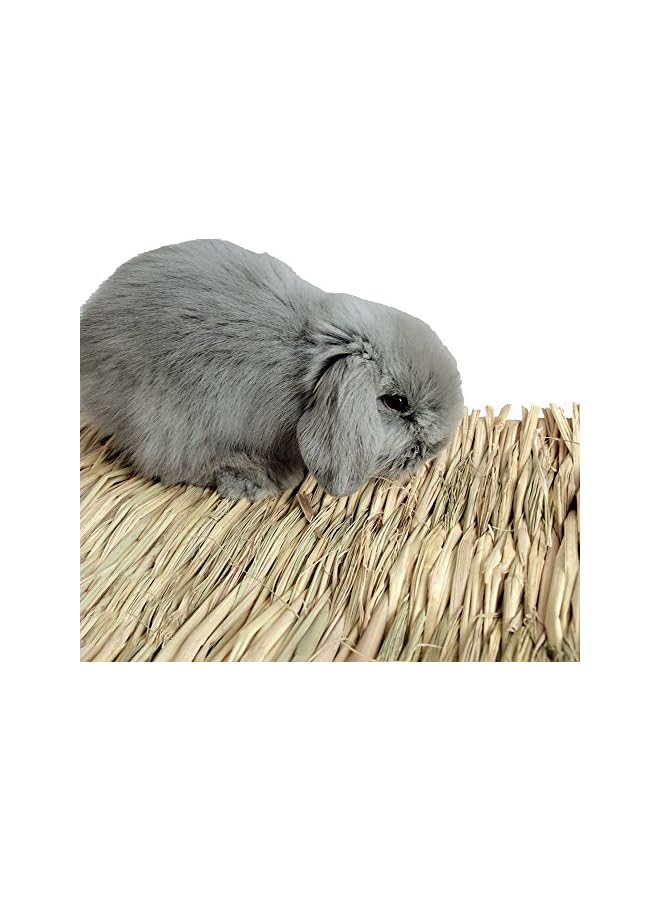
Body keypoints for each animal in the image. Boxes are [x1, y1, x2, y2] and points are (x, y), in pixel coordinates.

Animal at [80, 239, 464, 500]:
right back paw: (255, 478)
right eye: (397, 403)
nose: (436, 448)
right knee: (172, 463)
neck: (311, 363)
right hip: (165, 420)